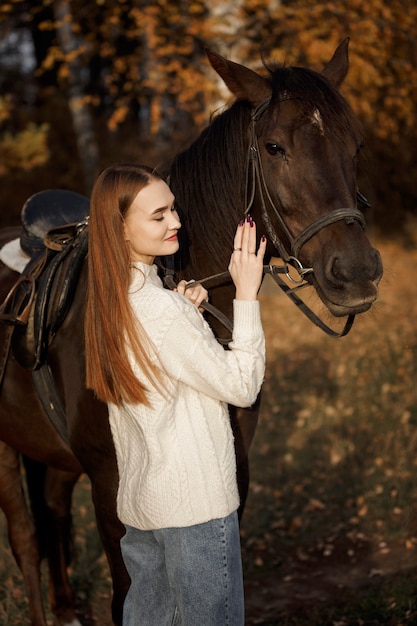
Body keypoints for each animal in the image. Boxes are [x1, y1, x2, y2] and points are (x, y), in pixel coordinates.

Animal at [0, 40, 382, 624]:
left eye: (355, 145)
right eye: (274, 147)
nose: (357, 272)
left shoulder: (234, 471)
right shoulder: (112, 488)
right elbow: (124, 596)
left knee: (53, 513)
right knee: (25, 538)